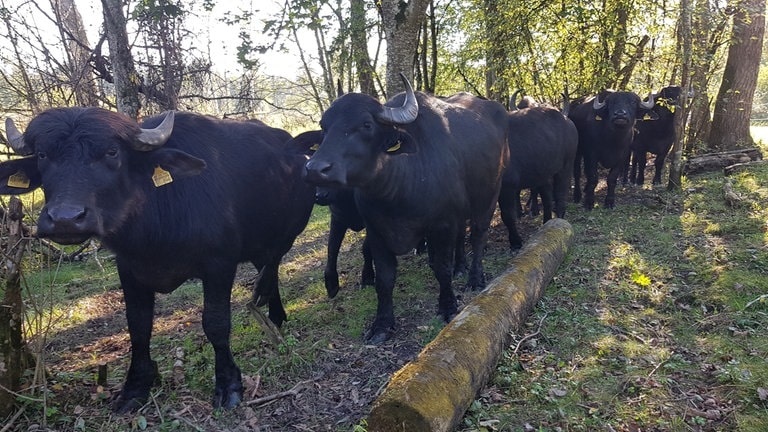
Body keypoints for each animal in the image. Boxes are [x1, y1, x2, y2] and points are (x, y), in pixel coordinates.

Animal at [0, 108, 316, 412]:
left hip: (287, 232)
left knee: (273, 263)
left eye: (112, 152)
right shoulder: (129, 270)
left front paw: (228, 386)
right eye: (43, 155)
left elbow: (215, 323)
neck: (154, 224)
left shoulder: (219, 265)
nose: (65, 219)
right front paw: (135, 388)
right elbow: (138, 327)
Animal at [302, 73, 510, 344]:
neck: (397, 193)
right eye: (324, 126)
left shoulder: (442, 224)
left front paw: (448, 306)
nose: (315, 169)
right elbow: (384, 278)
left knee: (478, 235)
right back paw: (460, 268)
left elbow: (441, 268)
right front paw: (382, 324)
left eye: (366, 125)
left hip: (489, 196)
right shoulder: (376, 231)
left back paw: (474, 277)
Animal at [498, 103, 576, 250]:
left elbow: (507, 215)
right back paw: (546, 222)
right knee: (547, 199)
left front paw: (515, 242)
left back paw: (559, 218)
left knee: (560, 195)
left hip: (565, 167)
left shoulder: (507, 187)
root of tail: (566, 120)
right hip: (543, 174)